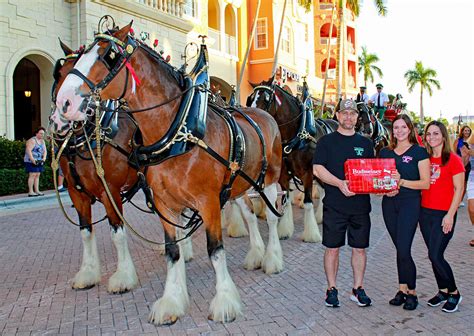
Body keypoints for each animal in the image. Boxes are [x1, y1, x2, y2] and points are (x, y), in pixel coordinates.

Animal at [52, 21, 282, 326]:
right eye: (58, 72)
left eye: (108, 56)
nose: (63, 104)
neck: (178, 130)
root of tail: (266, 116)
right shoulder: (159, 202)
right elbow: (168, 250)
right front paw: (172, 300)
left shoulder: (205, 201)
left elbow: (215, 250)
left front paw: (224, 301)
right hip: (238, 185)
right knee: (248, 214)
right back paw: (255, 254)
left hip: (268, 180)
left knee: (271, 216)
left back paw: (273, 259)